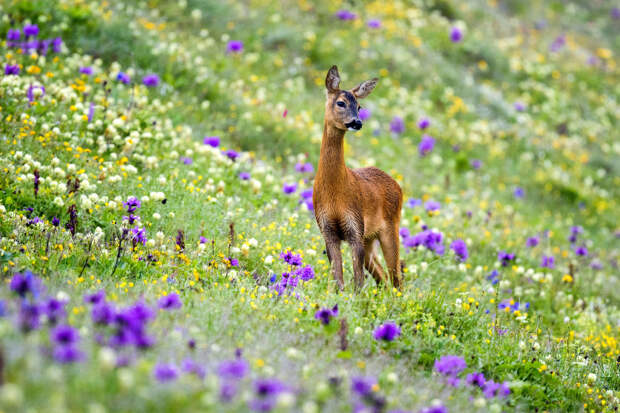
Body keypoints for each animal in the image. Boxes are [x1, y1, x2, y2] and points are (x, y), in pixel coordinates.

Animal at [314, 65, 402, 290]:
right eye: (341, 102)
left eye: (360, 106)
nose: (357, 122)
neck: (335, 193)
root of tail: (397, 185)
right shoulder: (328, 229)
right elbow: (338, 279)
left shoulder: (355, 227)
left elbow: (358, 282)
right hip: (369, 238)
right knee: (383, 276)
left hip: (390, 227)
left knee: (396, 278)